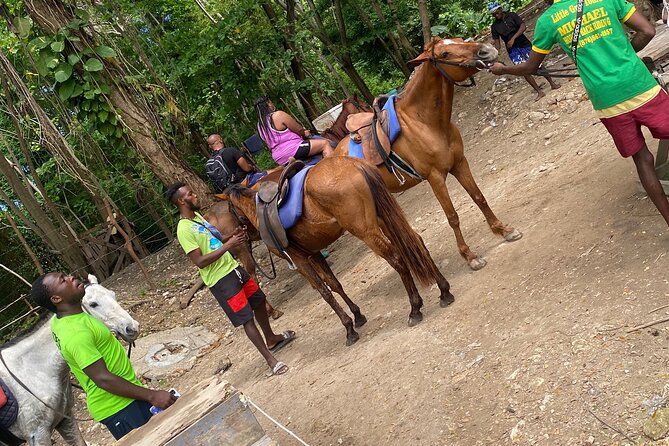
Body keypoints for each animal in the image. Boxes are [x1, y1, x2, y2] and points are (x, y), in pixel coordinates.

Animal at [0, 274, 140, 444]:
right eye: (93, 304)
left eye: (113, 295)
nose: (132, 328)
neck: (32, 370)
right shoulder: (38, 434)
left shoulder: (65, 419)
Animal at [219, 157, 454, 344]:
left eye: (230, 211)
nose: (232, 238)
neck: (258, 209)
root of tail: (355, 164)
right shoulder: (313, 253)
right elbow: (334, 284)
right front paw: (357, 316)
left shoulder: (299, 259)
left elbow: (324, 292)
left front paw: (349, 328)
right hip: (384, 217)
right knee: (415, 242)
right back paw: (444, 291)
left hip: (365, 230)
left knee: (397, 258)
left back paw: (415, 308)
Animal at [336, 37, 520, 268]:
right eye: (444, 55)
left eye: (459, 40)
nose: (487, 50)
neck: (425, 122)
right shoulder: (435, 178)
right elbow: (452, 216)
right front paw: (470, 256)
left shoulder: (460, 163)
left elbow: (479, 197)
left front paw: (503, 230)